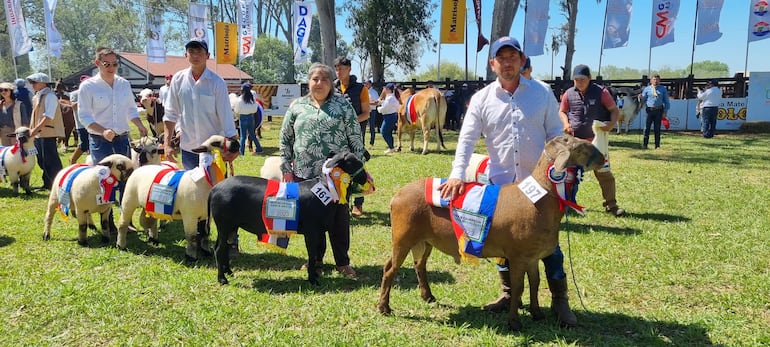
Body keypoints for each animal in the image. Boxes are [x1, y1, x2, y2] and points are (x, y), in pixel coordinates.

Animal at [207, 152, 368, 286]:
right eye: (355, 163)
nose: (366, 177)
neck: (326, 188)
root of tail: (214, 189)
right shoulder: (312, 232)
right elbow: (312, 255)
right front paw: (313, 279)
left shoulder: (319, 231)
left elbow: (316, 254)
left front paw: (315, 275)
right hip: (224, 224)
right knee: (219, 250)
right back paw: (222, 279)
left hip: (230, 227)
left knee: (222, 248)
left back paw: (229, 272)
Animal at [376, 135, 604, 332]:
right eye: (581, 148)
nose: (604, 159)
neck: (537, 199)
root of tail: (397, 195)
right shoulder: (518, 256)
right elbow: (518, 287)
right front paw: (514, 323)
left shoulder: (532, 257)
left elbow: (535, 283)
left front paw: (537, 314)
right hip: (403, 238)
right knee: (390, 269)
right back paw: (384, 308)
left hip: (425, 240)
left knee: (419, 265)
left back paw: (428, 297)